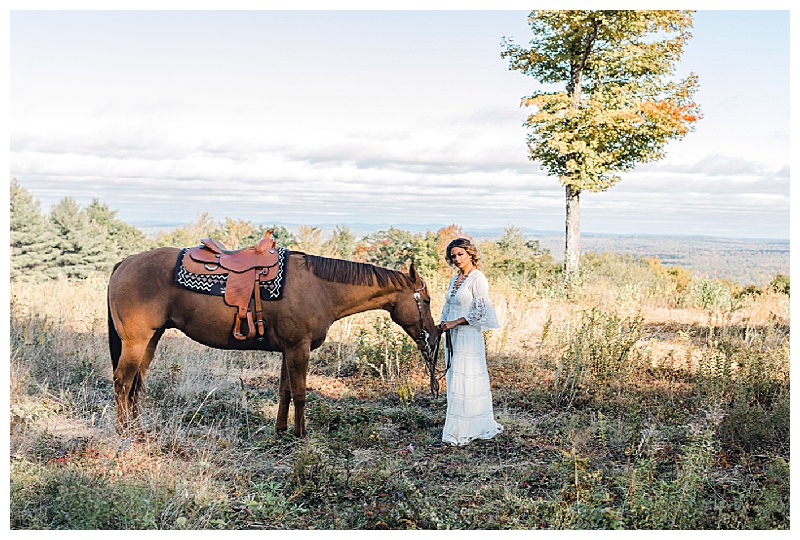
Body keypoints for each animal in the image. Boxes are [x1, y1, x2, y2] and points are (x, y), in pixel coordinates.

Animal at [108, 247, 438, 436]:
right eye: (427, 300)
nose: (434, 337)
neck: (320, 288)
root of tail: (125, 262)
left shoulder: (288, 349)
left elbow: (285, 392)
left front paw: (280, 431)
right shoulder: (298, 348)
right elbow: (301, 393)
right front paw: (301, 435)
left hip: (150, 341)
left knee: (136, 384)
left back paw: (138, 428)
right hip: (135, 341)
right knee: (123, 382)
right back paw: (124, 431)